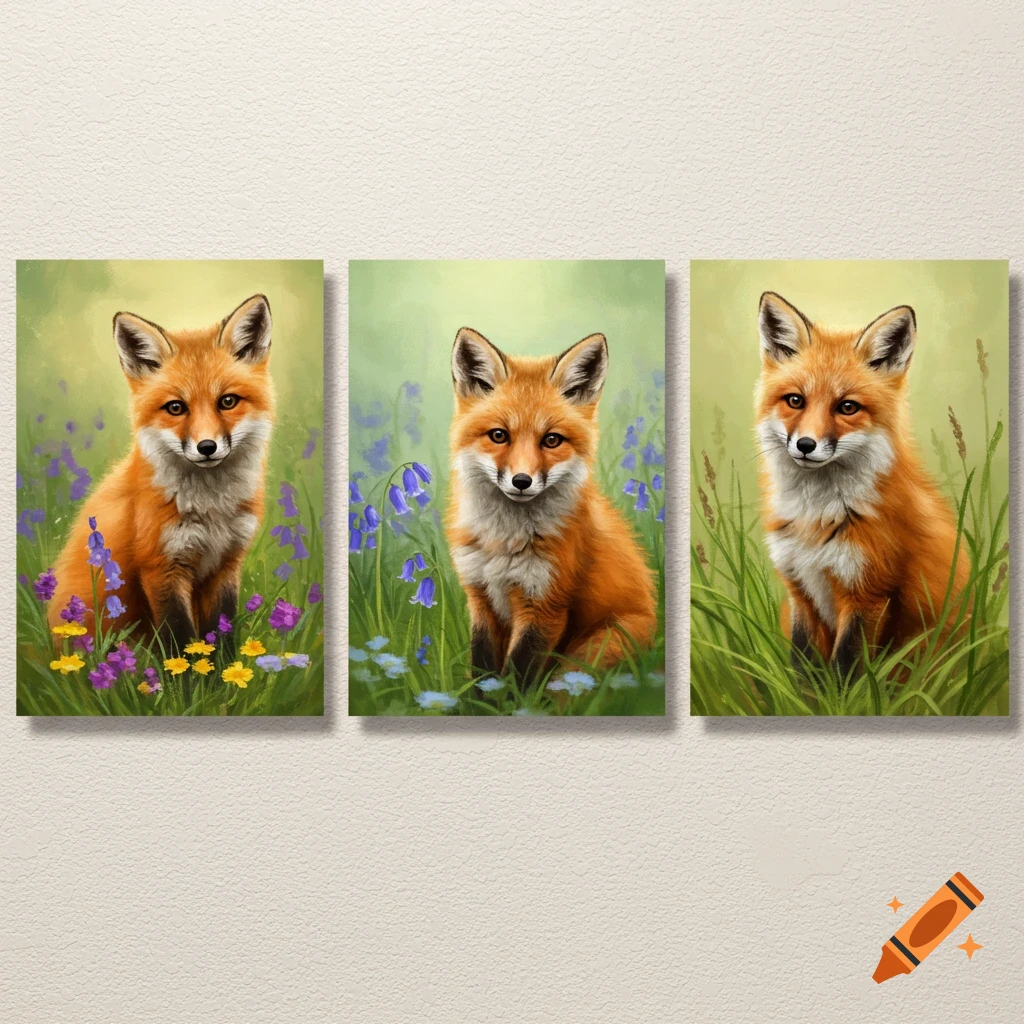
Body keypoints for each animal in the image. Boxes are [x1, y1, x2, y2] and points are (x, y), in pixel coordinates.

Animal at [48, 294, 275, 656]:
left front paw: (230, 672)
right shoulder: (160, 567)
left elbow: (221, 634)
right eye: (175, 408)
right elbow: (181, 641)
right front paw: (186, 673)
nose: (207, 447)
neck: (210, 510)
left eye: (227, 401)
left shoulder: (226, 564)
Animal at [446, 327, 657, 686]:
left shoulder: (545, 607)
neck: (503, 541)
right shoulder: (480, 598)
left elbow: (515, 682)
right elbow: (483, 675)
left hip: (583, 660)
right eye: (499, 435)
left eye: (552, 440)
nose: (521, 481)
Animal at [755, 291, 969, 678]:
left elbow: (846, 674)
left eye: (847, 407)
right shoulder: (800, 592)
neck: (816, 519)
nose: (805, 445)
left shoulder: (868, 596)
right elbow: (803, 671)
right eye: (795, 400)